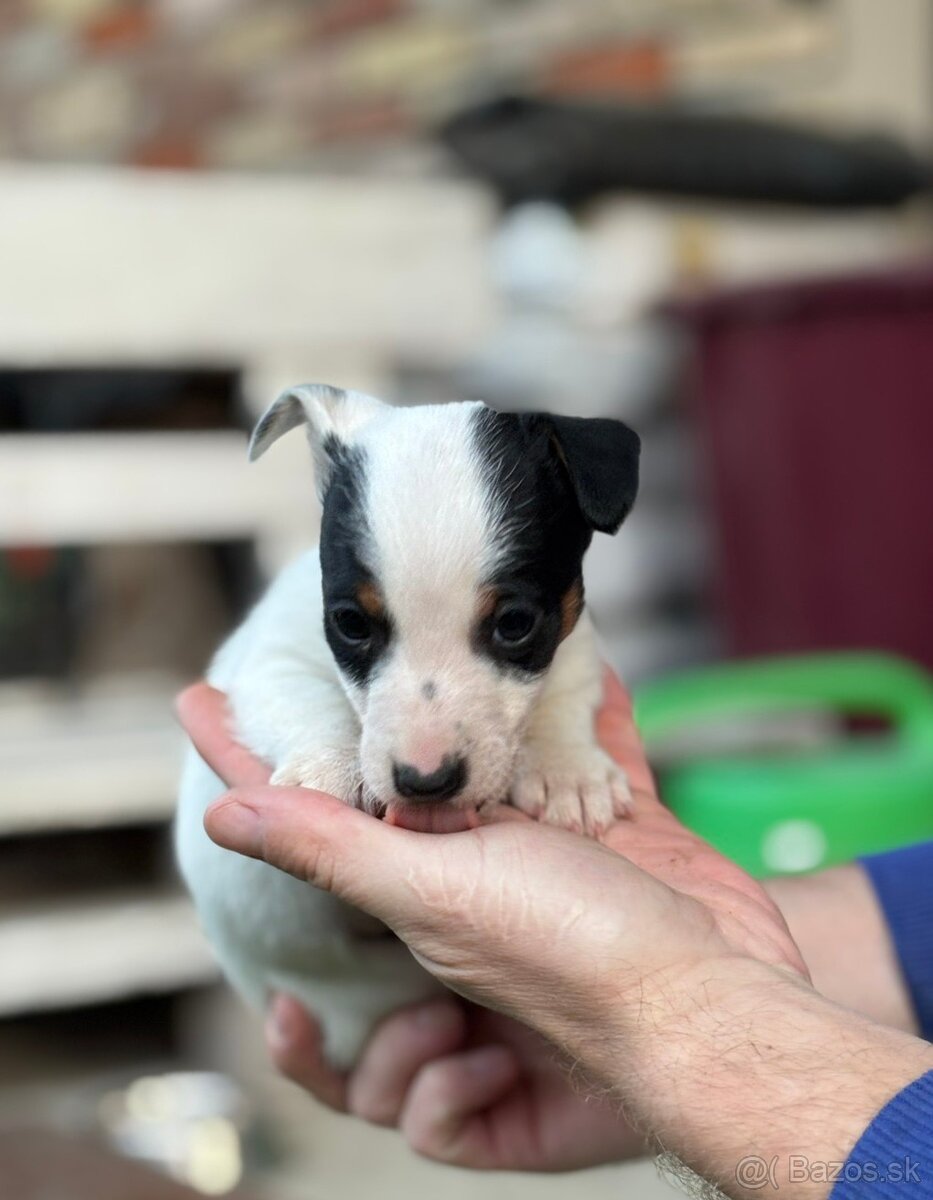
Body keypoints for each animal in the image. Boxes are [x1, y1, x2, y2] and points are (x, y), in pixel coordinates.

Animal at [175, 384, 637, 1070]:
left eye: (516, 623)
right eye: (351, 623)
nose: (426, 781)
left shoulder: (574, 642)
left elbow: (561, 697)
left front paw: (566, 772)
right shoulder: (270, 662)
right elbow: (302, 696)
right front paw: (329, 767)